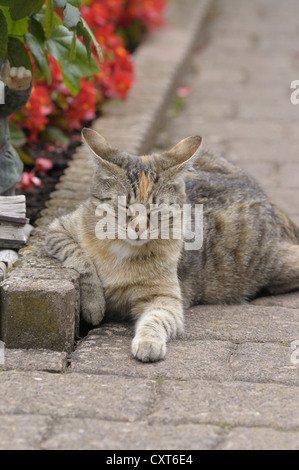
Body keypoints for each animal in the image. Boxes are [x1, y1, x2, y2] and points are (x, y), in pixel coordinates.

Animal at [45, 130, 299, 362]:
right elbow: (81, 259)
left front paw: (148, 342)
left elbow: (157, 318)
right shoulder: (57, 230)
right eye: (124, 206)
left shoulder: (166, 298)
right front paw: (94, 302)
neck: (120, 249)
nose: (138, 228)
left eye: (156, 210)